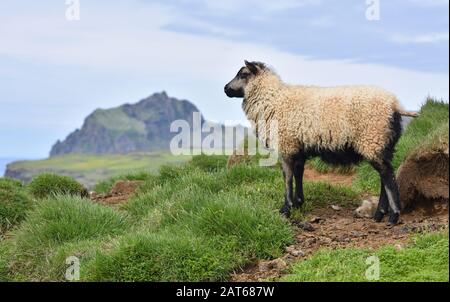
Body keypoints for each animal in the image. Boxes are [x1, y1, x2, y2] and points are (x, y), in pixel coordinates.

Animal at [225, 60, 404, 224]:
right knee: (384, 176)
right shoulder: (298, 148)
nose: (225, 89)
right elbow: (298, 173)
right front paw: (298, 203)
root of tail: (394, 104)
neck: (273, 99)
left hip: (372, 139)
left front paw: (286, 209)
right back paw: (379, 214)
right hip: (381, 143)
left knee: (387, 176)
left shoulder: (286, 145)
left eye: (244, 74)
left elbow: (287, 177)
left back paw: (393, 216)